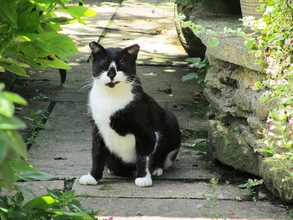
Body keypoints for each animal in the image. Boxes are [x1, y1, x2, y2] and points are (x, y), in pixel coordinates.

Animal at [78, 42, 181, 186]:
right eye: (104, 65)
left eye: (121, 66)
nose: (111, 75)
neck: (110, 97)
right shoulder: (97, 129)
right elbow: (97, 153)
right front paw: (92, 176)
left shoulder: (146, 131)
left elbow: (143, 155)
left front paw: (143, 178)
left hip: (172, 121)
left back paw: (156, 169)